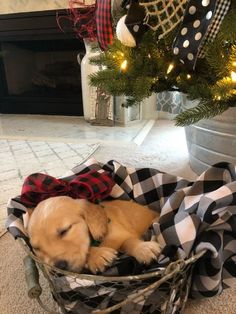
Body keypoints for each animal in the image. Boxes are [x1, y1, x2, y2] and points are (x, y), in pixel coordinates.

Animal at [27, 197, 160, 274]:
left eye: (65, 230)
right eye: (36, 248)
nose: (59, 268)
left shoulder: (121, 233)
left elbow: (129, 241)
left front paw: (143, 248)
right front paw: (97, 255)